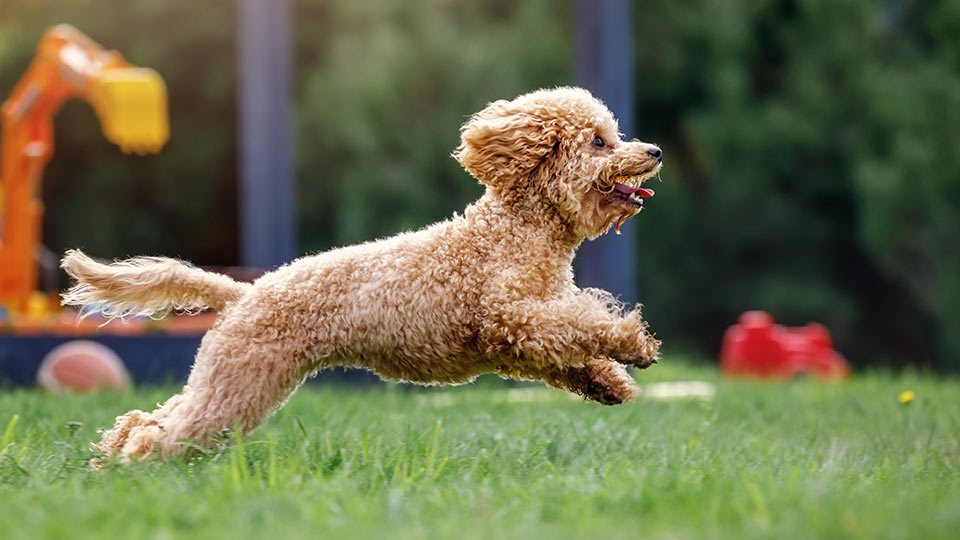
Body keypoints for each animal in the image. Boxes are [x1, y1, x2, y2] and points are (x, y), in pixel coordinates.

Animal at [60, 87, 660, 460]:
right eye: (600, 141)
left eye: (614, 135)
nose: (653, 150)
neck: (517, 230)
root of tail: (245, 292)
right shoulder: (511, 318)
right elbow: (583, 324)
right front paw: (634, 342)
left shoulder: (527, 340)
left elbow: (575, 353)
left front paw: (612, 383)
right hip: (240, 381)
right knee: (172, 431)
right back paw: (131, 464)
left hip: (231, 375)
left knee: (154, 416)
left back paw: (112, 455)